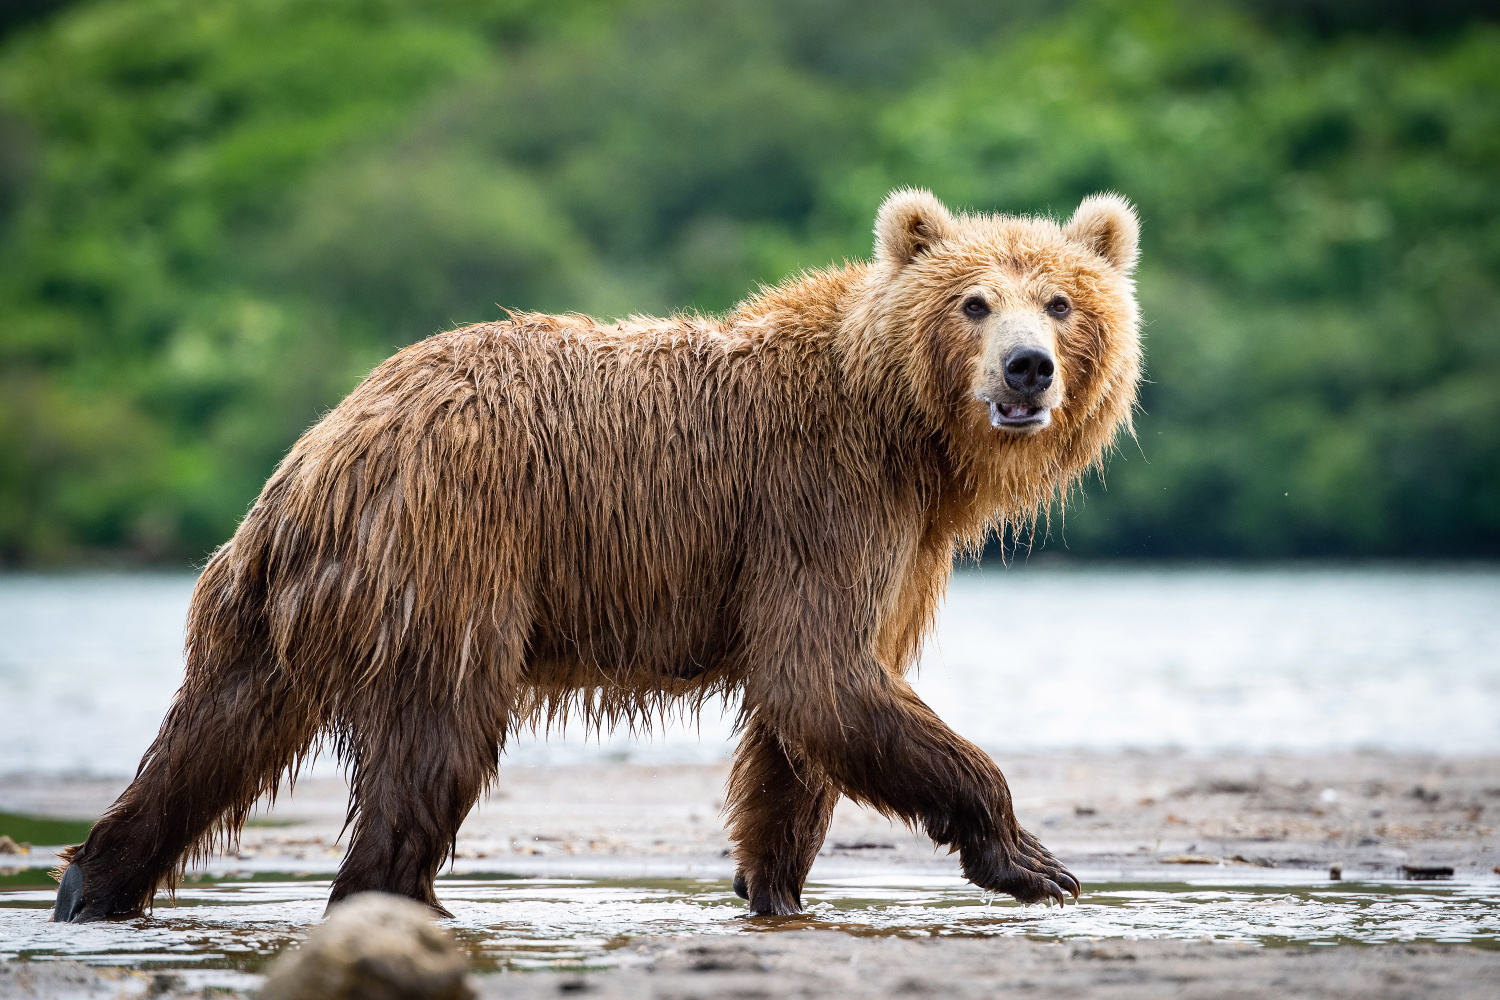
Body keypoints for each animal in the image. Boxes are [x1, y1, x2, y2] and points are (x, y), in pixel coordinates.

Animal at [52, 185, 1140, 923]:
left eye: (1060, 302)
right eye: (973, 301)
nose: (1026, 368)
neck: (908, 433)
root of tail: (321, 451)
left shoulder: (897, 546)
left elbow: (802, 727)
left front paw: (773, 885)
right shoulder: (818, 500)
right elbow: (822, 672)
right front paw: (1033, 859)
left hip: (271, 610)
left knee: (212, 738)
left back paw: (91, 883)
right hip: (450, 556)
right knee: (434, 745)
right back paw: (403, 897)